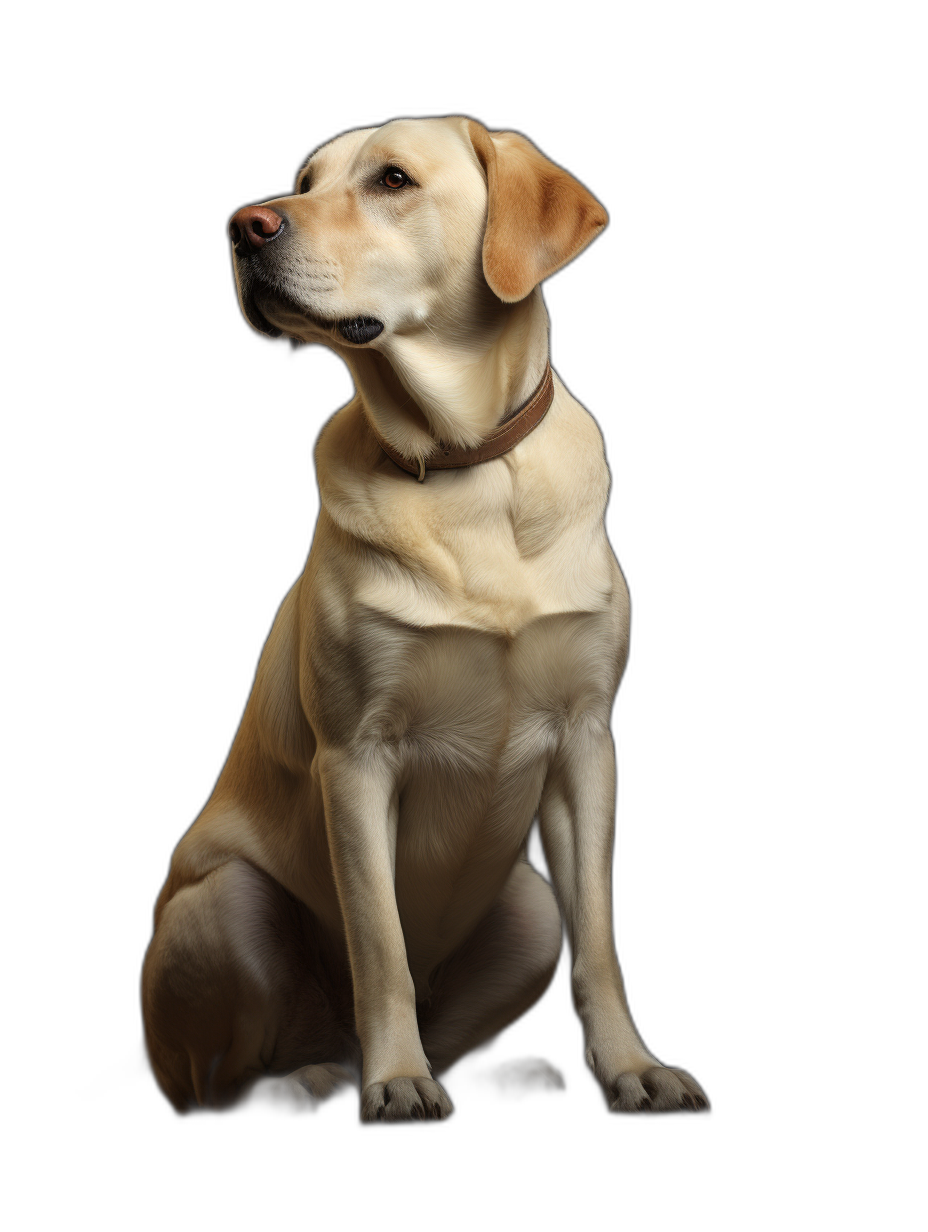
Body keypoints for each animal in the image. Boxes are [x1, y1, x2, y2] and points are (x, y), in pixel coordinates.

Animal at [137, 117, 704, 1128]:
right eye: (304, 181)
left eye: (392, 180)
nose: (243, 226)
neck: (465, 466)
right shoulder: (355, 760)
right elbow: (381, 946)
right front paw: (395, 1080)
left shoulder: (587, 743)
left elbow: (601, 943)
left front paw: (633, 1068)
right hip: (229, 904)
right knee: (217, 1085)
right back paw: (312, 1078)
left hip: (530, 911)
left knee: (471, 1010)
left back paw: (500, 1070)